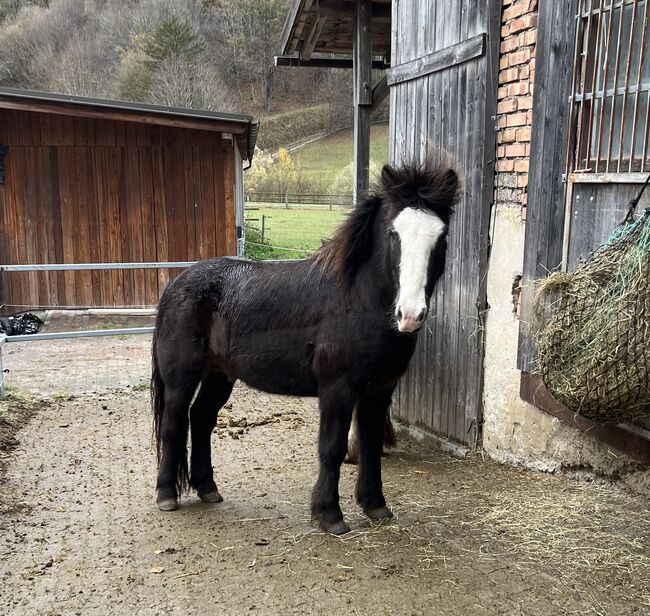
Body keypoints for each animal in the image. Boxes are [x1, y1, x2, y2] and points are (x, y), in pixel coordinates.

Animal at [151, 161, 456, 536]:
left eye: (440, 236)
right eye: (393, 234)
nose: (410, 314)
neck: (357, 301)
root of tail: (176, 284)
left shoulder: (379, 391)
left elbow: (371, 446)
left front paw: (375, 505)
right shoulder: (337, 390)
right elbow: (332, 449)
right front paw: (329, 515)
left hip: (219, 375)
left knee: (202, 418)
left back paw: (207, 488)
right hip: (181, 377)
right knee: (174, 424)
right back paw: (167, 495)